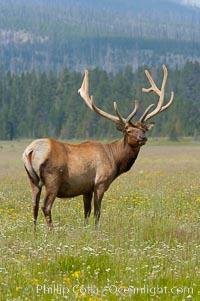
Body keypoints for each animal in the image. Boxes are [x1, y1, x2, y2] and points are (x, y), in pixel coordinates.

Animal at [23, 65, 173, 230]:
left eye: (143, 130)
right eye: (128, 131)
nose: (143, 138)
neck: (115, 159)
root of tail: (31, 150)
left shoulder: (86, 188)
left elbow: (86, 212)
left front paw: (86, 229)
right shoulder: (100, 182)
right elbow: (97, 212)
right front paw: (96, 230)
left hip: (33, 180)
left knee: (34, 206)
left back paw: (35, 233)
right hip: (52, 179)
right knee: (46, 206)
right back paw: (52, 232)